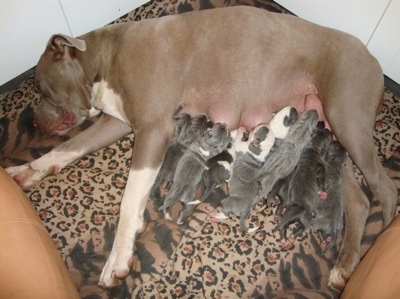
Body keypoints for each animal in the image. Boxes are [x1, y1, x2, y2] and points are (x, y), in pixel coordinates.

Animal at [6, 5, 396, 292]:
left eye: (41, 87)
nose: (35, 122)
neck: (104, 60)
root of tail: (373, 59)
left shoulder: (153, 128)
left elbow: (130, 198)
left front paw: (117, 260)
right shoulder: (117, 121)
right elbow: (70, 147)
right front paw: (25, 171)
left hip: (348, 116)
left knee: (385, 188)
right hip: (335, 138)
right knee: (359, 201)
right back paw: (343, 267)